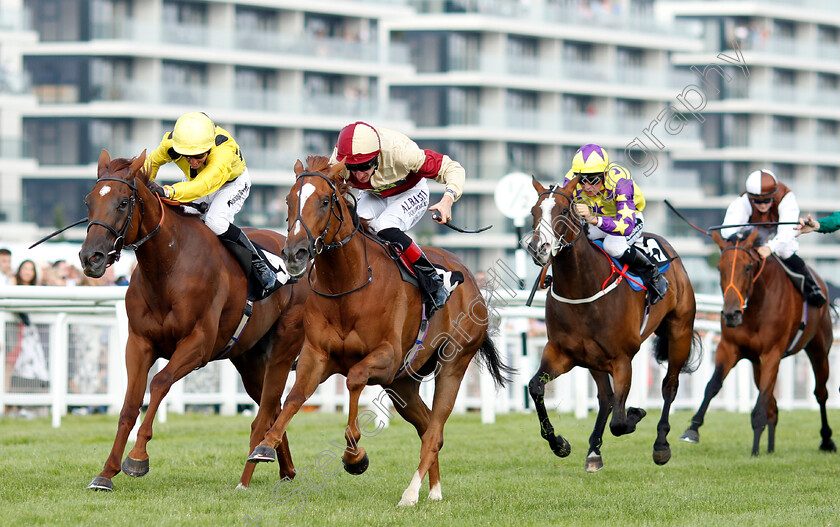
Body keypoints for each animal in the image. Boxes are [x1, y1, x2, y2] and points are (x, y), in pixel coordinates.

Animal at [79, 151, 306, 492]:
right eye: (88, 201)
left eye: (122, 202)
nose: (90, 257)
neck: (168, 266)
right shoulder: (139, 343)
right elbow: (129, 405)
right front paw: (106, 473)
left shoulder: (197, 345)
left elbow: (160, 383)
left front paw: (137, 458)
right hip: (249, 359)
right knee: (272, 406)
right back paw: (283, 467)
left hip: (283, 347)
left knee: (269, 406)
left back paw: (252, 471)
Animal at [246, 156, 508, 508]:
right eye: (288, 200)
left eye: (325, 201)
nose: (294, 253)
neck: (347, 286)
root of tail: (468, 277)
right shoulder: (316, 355)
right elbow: (294, 397)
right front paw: (265, 445)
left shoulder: (386, 356)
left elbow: (354, 379)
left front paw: (355, 456)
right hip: (404, 383)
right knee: (427, 426)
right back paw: (434, 489)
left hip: (452, 364)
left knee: (435, 430)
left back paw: (411, 493)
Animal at [528, 177, 700, 474]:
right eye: (533, 212)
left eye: (564, 210)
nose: (538, 248)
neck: (583, 289)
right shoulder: (561, 353)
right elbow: (536, 387)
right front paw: (559, 444)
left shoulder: (622, 359)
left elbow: (620, 422)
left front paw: (637, 413)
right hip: (594, 359)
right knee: (605, 397)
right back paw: (593, 452)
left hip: (680, 332)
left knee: (669, 385)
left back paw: (661, 445)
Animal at [680, 229, 836, 456]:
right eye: (719, 268)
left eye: (747, 267)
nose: (731, 314)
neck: (755, 308)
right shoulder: (729, 348)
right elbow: (713, 385)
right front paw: (693, 429)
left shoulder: (772, 353)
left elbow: (761, 399)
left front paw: (754, 449)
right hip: (756, 364)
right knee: (773, 404)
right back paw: (770, 447)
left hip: (819, 349)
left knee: (821, 393)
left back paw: (826, 440)